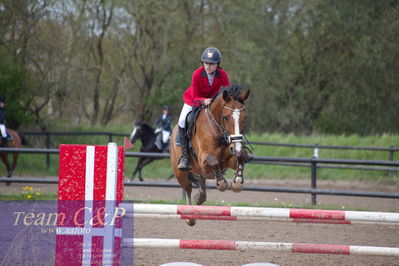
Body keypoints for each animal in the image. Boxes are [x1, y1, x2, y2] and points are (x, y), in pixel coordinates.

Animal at [170, 84, 252, 225]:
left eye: (245, 117)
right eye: (226, 117)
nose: (236, 147)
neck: (218, 131)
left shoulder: (229, 160)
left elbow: (242, 156)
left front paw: (237, 183)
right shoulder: (204, 159)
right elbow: (213, 162)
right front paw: (222, 183)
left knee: (201, 187)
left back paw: (198, 199)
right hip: (180, 172)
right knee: (188, 187)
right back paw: (190, 216)